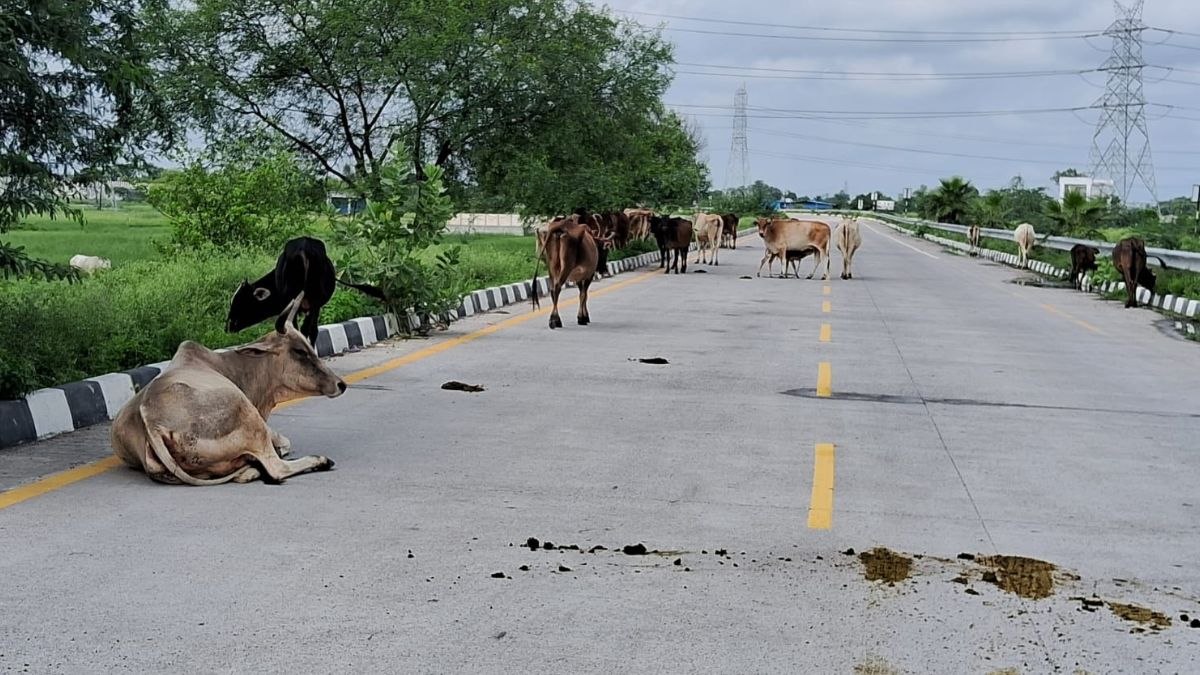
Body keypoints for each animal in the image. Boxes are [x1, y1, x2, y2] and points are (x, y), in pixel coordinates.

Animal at [229, 235, 384, 341]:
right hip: (314, 301)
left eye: (241, 301)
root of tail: (304, 247)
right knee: (306, 329)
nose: (228, 325)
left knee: (304, 329)